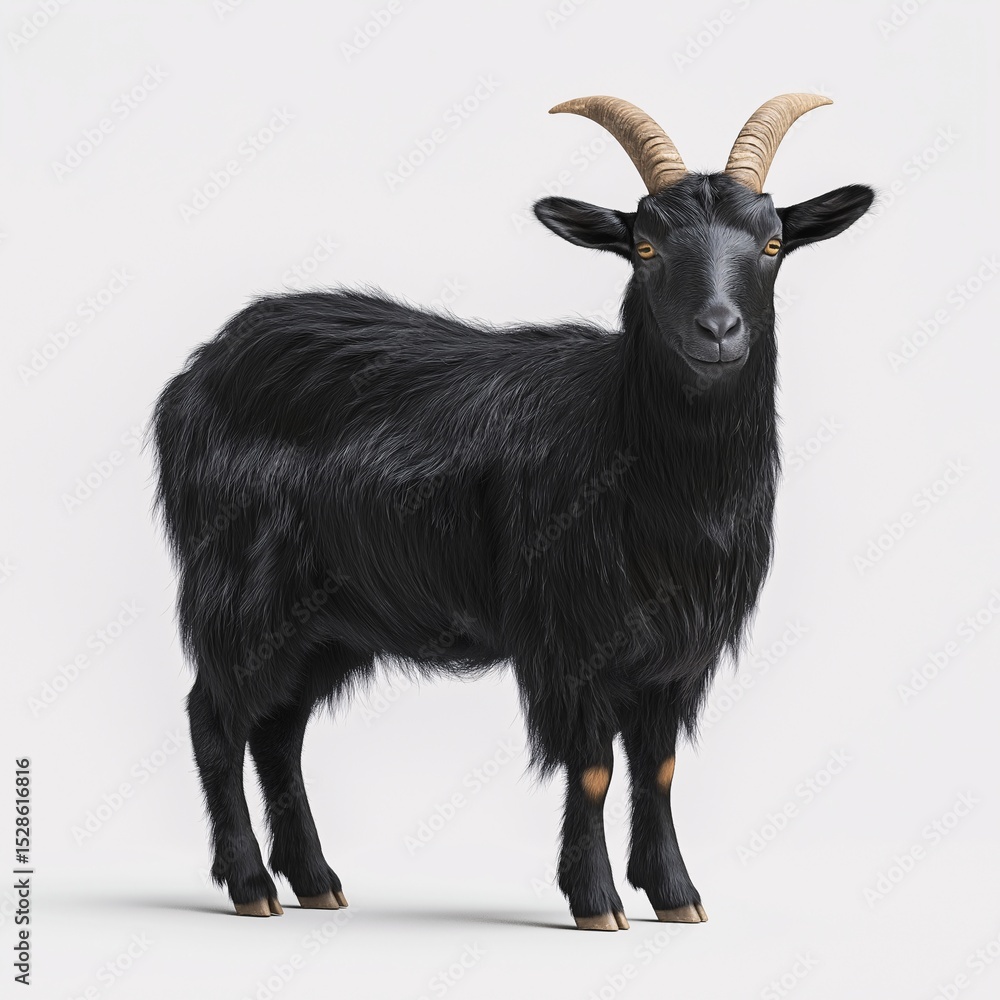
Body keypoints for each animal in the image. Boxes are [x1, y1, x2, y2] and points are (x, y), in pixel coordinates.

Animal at [153, 94, 873, 929]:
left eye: (773, 241)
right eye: (646, 246)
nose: (719, 329)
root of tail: (197, 372)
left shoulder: (673, 651)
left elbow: (657, 767)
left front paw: (675, 894)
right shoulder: (570, 632)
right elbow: (593, 767)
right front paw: (596, 900)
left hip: (329, 619)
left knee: (277, 733)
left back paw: (315, 880)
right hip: (243, 585)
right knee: (214, 718)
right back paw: (250, 886)